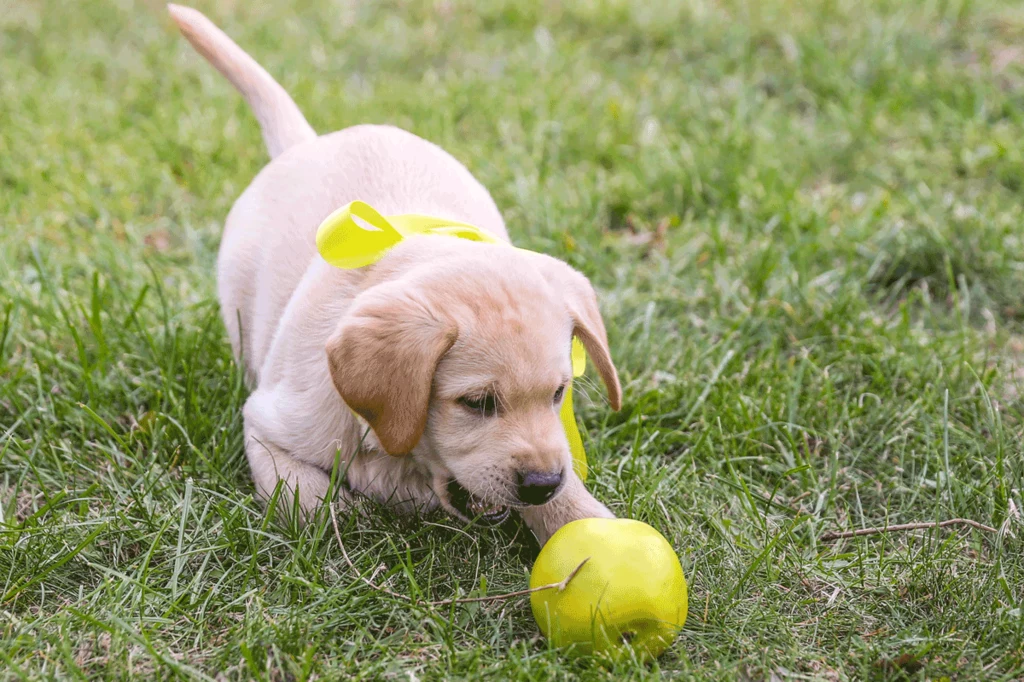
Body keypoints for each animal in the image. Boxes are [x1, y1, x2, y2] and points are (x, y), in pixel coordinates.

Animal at [165, 2, 622, 540]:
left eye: (558, 394)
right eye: (477, 403)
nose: (541, 483)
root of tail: (311, 141)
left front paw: (586, 521)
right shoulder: (266, 423)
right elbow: (302, 495)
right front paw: (337, 521)